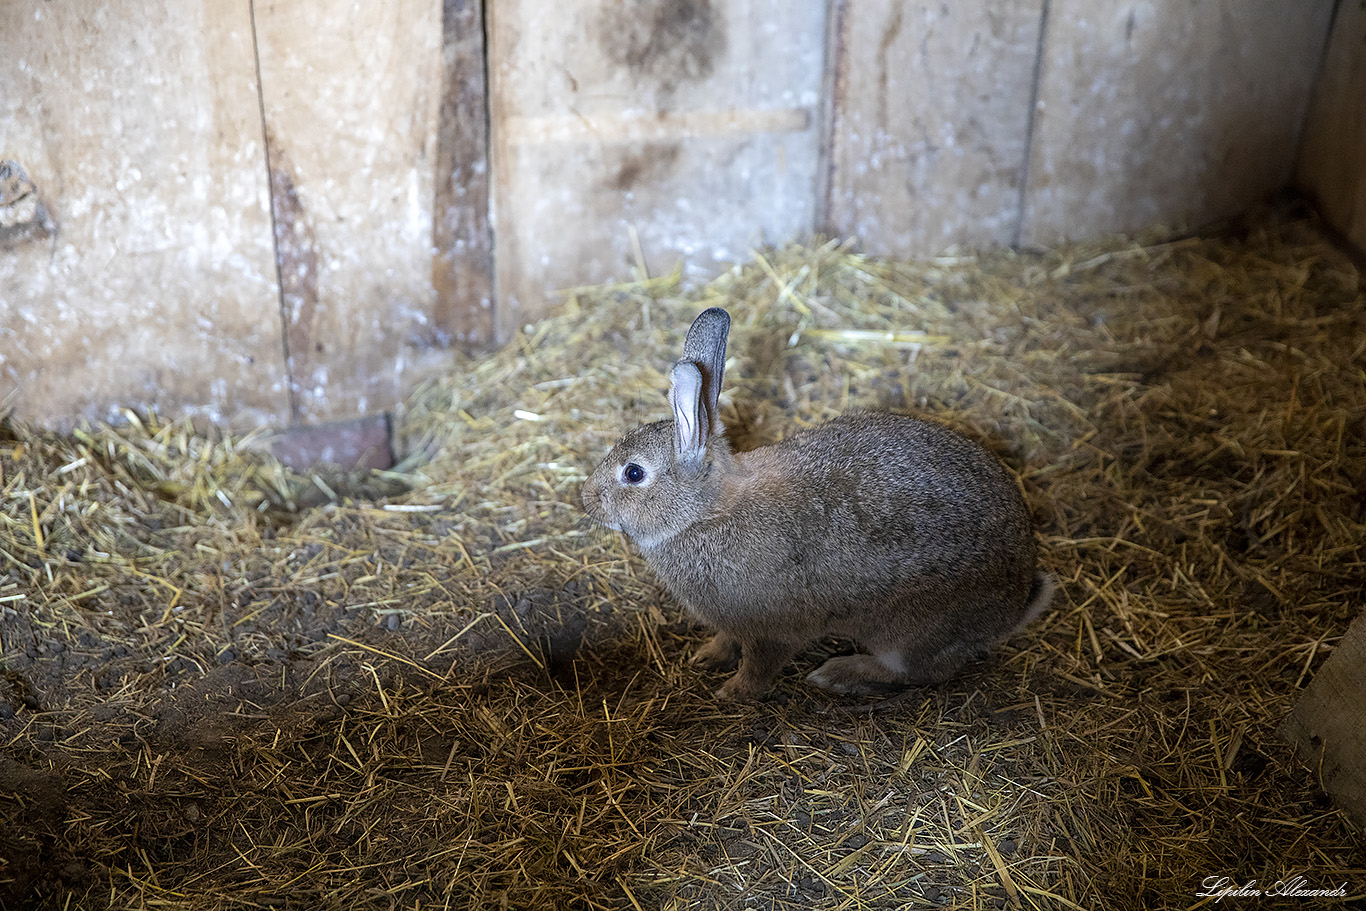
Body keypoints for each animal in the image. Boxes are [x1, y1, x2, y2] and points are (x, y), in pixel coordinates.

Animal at [581, 305, 1049, 699]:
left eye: (634, 473)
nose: (586, 497)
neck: (706, 514)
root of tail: (1015, 606)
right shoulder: (732, 623)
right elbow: (727, 641)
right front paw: (706, 656)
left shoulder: (770, 630)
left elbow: (760, 666)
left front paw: (732, 693)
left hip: (909, 635)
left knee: (916, 673)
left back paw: (836, 674)